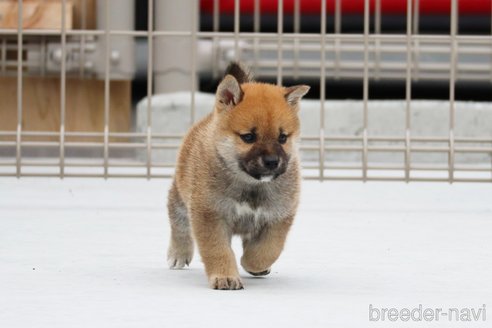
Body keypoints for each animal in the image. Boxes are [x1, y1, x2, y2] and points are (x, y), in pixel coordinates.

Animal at [167, 62, 310, 290]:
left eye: (282, 137)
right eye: (248, 137)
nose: (272, 162)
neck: (251, 186)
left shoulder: (278, 217)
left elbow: (266, 250)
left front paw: (252, 264)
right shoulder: (210, 215)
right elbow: (218, 251)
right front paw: (225, 276)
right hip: (180, 196)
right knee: (178, 223)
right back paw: (179, 252)